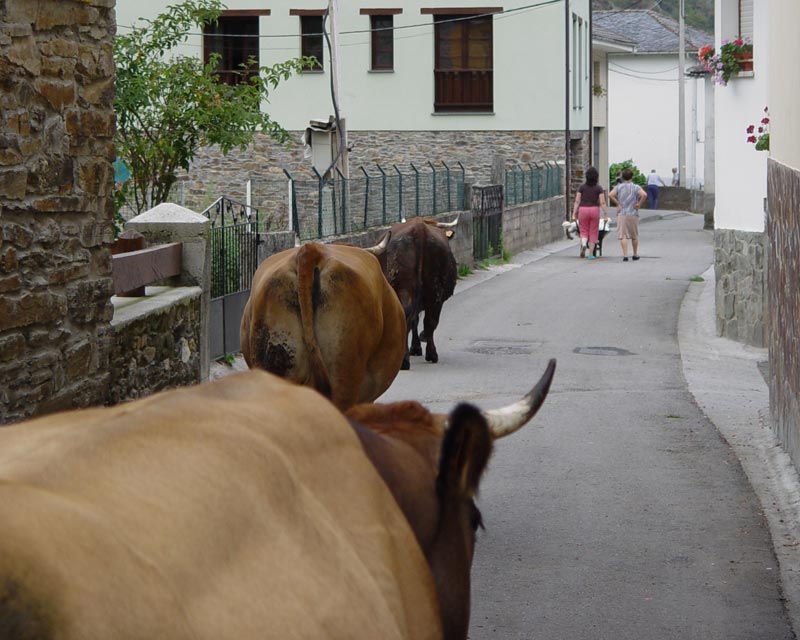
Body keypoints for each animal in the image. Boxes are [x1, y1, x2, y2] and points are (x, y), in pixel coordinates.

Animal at [378, 216, 460, 370]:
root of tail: (419, 229)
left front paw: (416, 347)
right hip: (434, 291)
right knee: (428, 321)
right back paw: (429, 353)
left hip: (408, 290)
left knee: (415, 318)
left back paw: (407, 358)